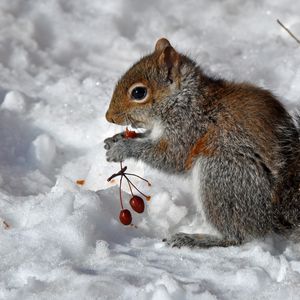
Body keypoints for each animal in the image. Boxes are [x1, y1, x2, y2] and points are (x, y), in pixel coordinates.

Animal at [103, 38, 300, 248]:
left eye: (139, 92)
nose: (109, 117)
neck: (183, 100)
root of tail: (272, 215)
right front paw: (115, 139)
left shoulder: (189, 128)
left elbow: (170, 157)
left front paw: (123, 148)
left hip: (221, 176)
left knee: (238, 236)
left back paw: (193, 239)